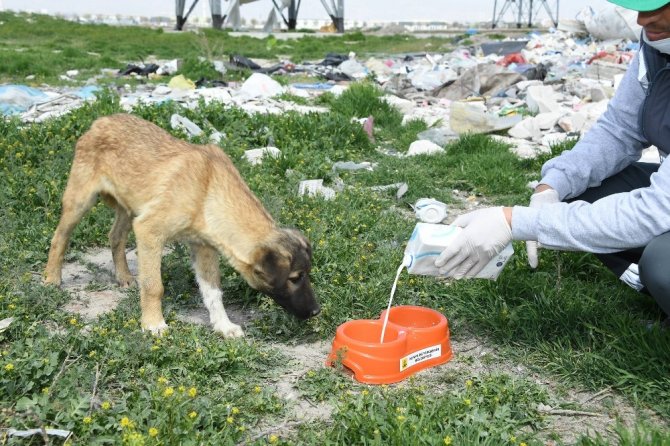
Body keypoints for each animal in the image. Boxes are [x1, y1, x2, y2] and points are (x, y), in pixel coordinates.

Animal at [43, 113, 322, 336]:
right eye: (295, 278)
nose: (317, 311)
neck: (207, 192)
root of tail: (101, 121)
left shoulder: (204, 248)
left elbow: (213, 292)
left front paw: (223, 325)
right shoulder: (149, 231)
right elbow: (154, 286)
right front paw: (153, 324)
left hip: (129, 208)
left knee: (115, 237)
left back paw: (123, 276)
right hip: (80, 200)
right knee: (60, 237)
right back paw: (51, 278)